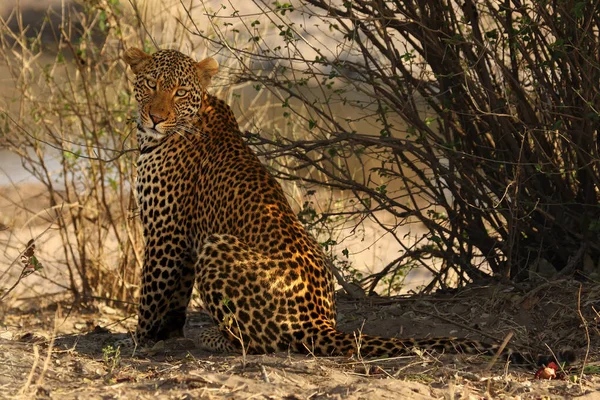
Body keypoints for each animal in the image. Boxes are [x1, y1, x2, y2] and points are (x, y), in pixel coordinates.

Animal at [122, 47, 524, 362]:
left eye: (179, 92)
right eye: (152, 85)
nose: (156, 117)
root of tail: (320, 321)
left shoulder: (166, 234)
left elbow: (152, 294)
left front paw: (140, 341)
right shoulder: (178, 240)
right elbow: (174, 300)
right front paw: (166, 336)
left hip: (217, 246)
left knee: (259, 342)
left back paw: (213, 338)